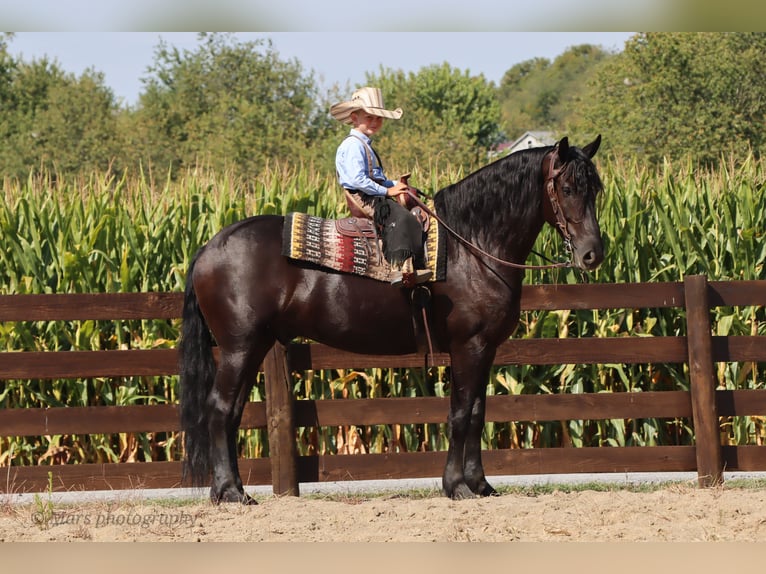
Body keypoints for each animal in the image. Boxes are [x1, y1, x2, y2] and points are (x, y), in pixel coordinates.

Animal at [179, 135, 605, 503]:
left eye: (597, 190)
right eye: (568, 188)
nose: (592, 254)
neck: (471, 246)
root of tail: (208, 248)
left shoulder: (486, 351)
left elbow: (478, 413)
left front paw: (481, 484)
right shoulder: (469, 347)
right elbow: (460, 414)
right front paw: (457, 486)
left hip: (255, 345)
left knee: (231, 413)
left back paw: (231, 491)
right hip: (239, 347)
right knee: (219, 409)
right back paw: (230, 492)